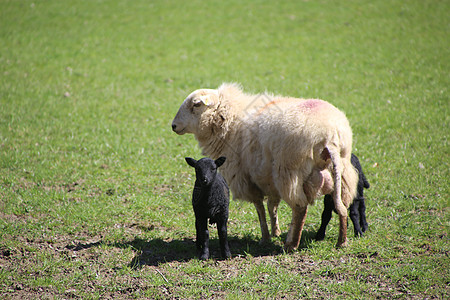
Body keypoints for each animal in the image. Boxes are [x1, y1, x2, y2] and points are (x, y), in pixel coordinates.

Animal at [173, 83, 358, 250]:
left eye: (196, 105)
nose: (173, 126)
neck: (230, 119)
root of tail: (330, 135)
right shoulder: (269, 178)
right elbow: (272, 206)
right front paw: (276, 232)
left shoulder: (246, 179)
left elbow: (260, 209)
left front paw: (266, 238)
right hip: (342, 172)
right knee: (341, 205)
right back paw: (342, 241)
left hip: (289, 173)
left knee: (300, 207)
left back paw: (291, 244)